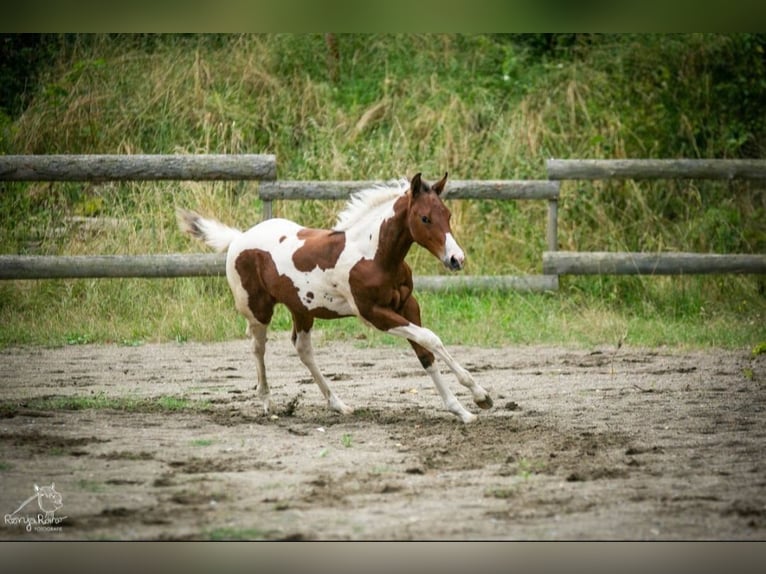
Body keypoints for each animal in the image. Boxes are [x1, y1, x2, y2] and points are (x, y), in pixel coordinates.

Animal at [178, 172, 496, 424]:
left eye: (448, 215)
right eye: (425, 218)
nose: (456, 259)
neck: (374, 256)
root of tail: (238, 238)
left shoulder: (407, 305)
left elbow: (426, 352)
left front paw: (465, 408)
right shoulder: (373, 314)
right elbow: (431, 338)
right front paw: (480, 394)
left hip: (302, 309)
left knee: (302, 348)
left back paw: (338, 405)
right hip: (258, 310)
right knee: (258, 348)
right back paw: (268, 404)